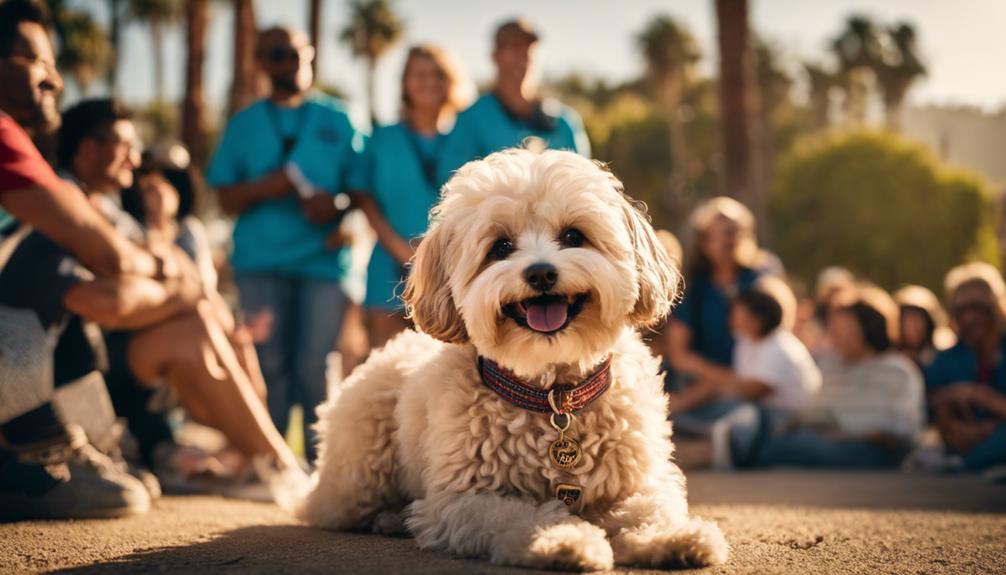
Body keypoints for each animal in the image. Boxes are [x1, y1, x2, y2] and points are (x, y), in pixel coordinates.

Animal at [293, 147, 728, 570]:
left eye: (573, 236)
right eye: (500, 247)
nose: (541, 273)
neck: (553, 398)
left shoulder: (638, 481)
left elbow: (650, 508)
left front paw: (673, 537)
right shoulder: (466, 497)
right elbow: (525, 515)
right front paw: (561, 539)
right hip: (359, 475)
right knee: (332, 509)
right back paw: (387, 517)